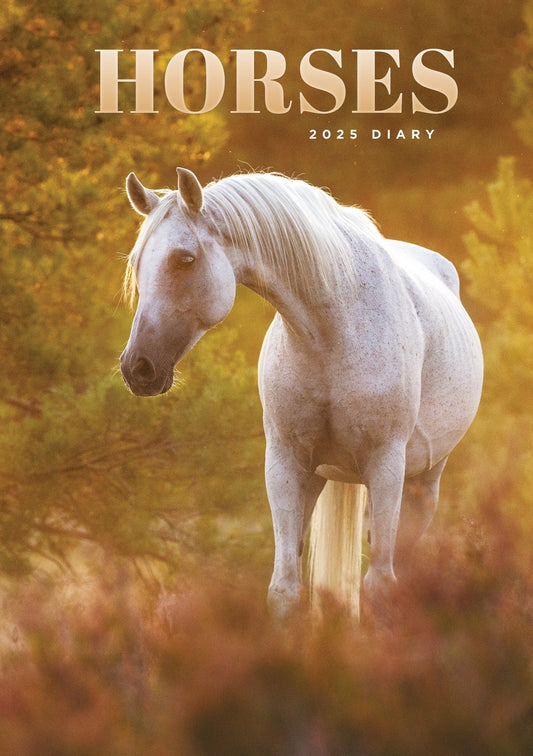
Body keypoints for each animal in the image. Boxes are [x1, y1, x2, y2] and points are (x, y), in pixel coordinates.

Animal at [120, 167, 483, 620]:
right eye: (136, 261)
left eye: (184, 259)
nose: (137, 368)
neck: (333, 329)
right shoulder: (286, 463)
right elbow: (285, 589)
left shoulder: (386, 465)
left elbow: (380, 587)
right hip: (320, 479)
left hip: (422, 484)